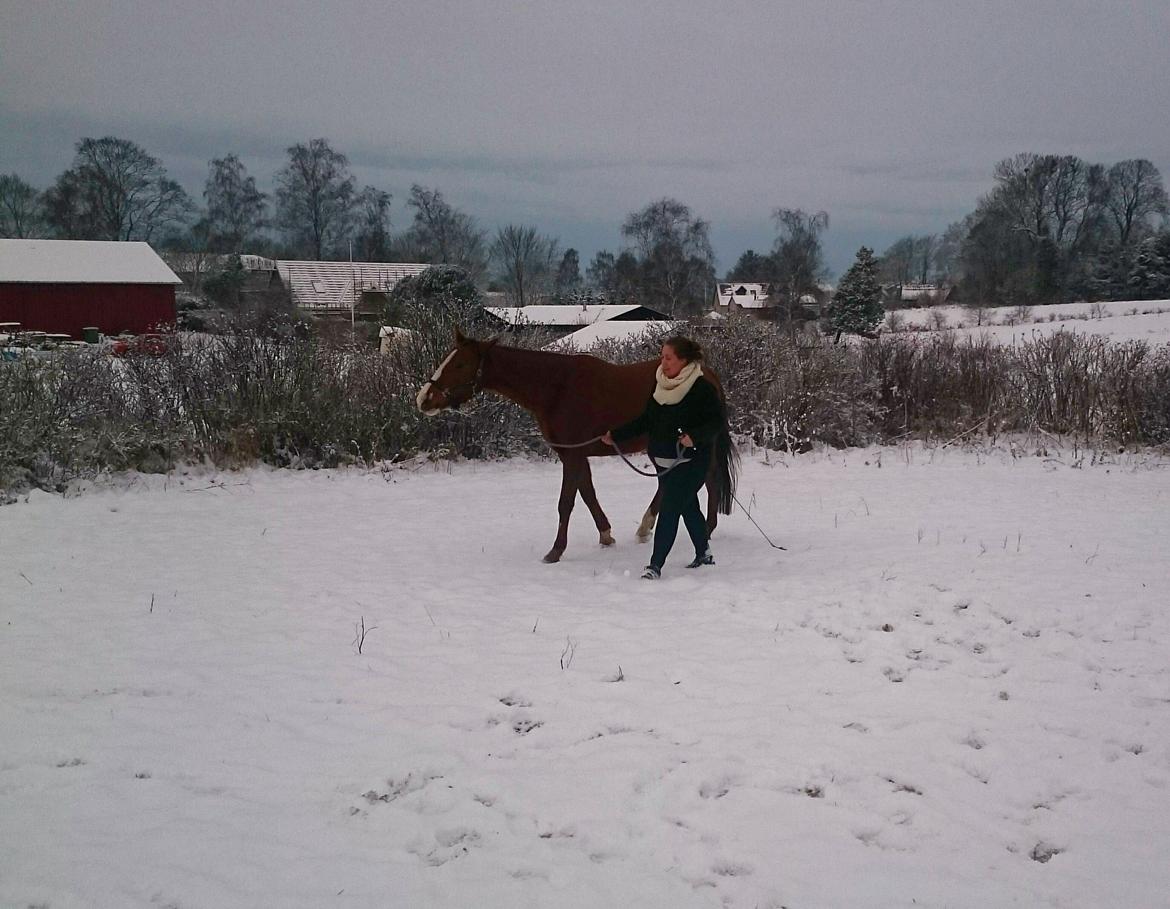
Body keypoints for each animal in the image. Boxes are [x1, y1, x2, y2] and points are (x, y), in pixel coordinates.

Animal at [416, 329, 734, 559]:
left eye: (460, 363)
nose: (424, 399)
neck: (556, 388)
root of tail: (709, 375)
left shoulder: (573, 455)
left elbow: (566, 502)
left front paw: (556, 551)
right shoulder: (573, 454)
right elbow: (587, 493)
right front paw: (606, 535)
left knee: (709, 479)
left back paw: (704, 530)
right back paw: (647, 528)